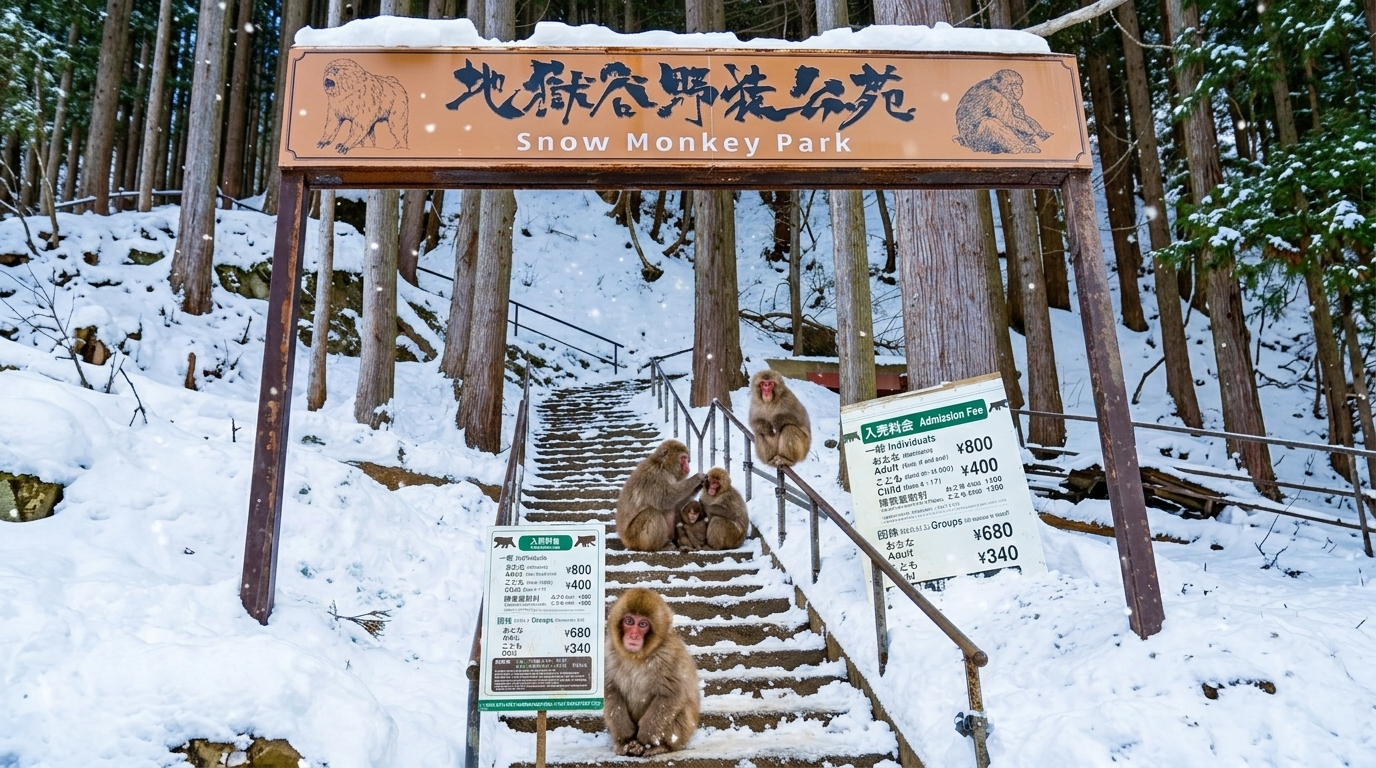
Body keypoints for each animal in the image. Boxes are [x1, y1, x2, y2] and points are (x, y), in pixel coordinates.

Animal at [604, 587, 700, 757]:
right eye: (629, 621)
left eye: (643, 624)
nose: (633, 635)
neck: (637, 656)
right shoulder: (608, 653)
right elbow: (611, 691)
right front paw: (626, 739)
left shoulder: (668, 656)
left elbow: (670, 695)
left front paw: (643, 740)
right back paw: (622, 745)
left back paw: (660, 747)